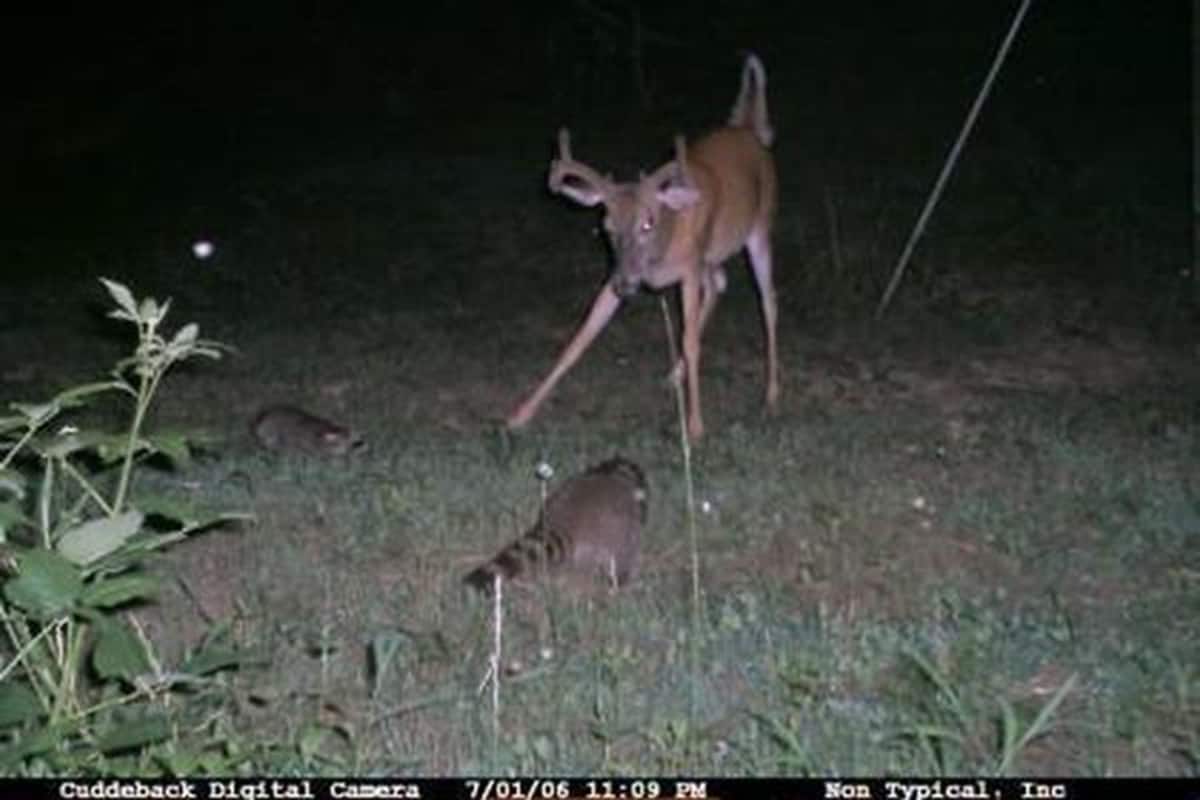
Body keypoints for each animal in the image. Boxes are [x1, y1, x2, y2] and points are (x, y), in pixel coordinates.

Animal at [504, 54, 777, 443]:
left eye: (647, 223)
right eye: (606, 226)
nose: (626, 287)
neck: (660, 251)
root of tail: (749, 131)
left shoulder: (688, 268)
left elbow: (690, 340)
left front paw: (695, 425)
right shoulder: (620, 272)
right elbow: (579, 338)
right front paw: (520, 414)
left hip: (760, 226)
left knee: (768, 301)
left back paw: (771, 396)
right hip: (710, 255)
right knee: (721, 283)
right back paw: (674, 375)